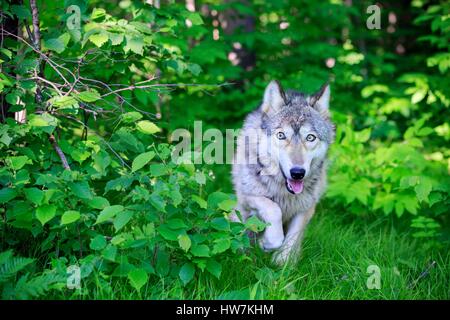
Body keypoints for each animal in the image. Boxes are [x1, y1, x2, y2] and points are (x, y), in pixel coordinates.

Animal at [232, 80, 334, 264]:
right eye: (281, 135)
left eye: (310, 137)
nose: (297, 173)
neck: (285, 193)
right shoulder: (247, 197)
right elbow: (273, 209)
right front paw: (269, 241)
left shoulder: (306, 207)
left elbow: (293, 237)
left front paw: (282, 262)